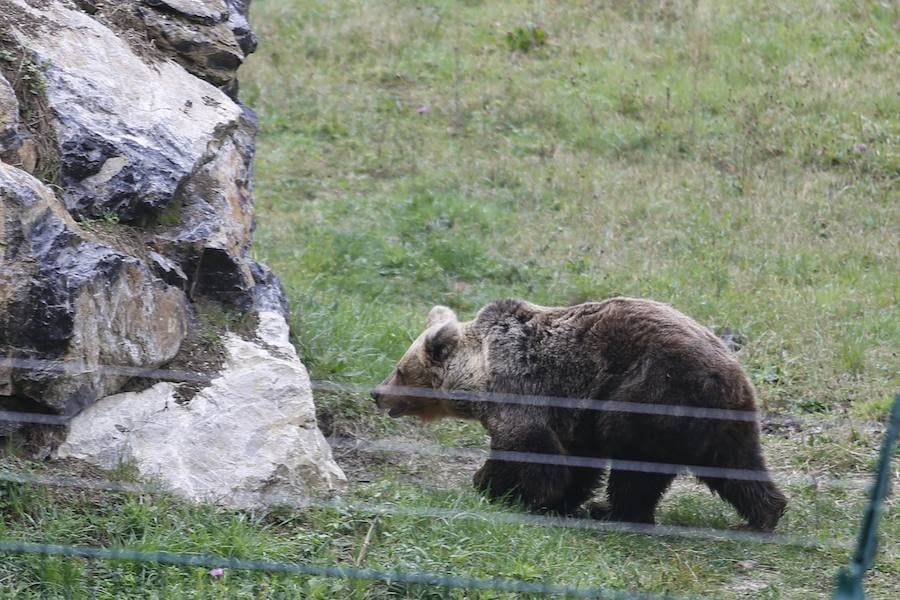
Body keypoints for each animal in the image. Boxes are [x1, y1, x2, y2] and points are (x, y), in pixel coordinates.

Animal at [372, 298, 788, 528]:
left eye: (400, 370)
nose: (377, 393)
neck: (479, 376)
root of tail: (726, 374)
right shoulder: (575, 416)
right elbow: (577, 461)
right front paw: (555, 497)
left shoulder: (521, 394)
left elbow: (529, 452)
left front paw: (501, 488)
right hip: (722, 420)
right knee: (736, 466)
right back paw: (766, 514)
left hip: (647, 396)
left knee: (637, 470)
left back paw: (613, 511)